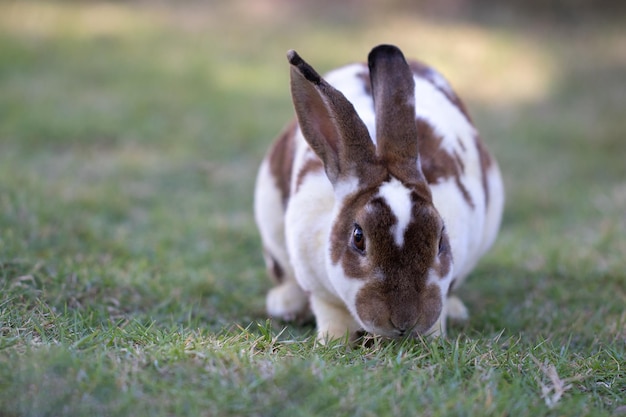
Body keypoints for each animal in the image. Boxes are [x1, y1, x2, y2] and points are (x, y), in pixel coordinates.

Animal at [252, 44, 502, 342]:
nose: (405, 321)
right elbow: (331, 315)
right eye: (358, 238)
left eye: (441, 238)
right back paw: (286, 304)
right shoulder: (320, 292)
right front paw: (333, 340)